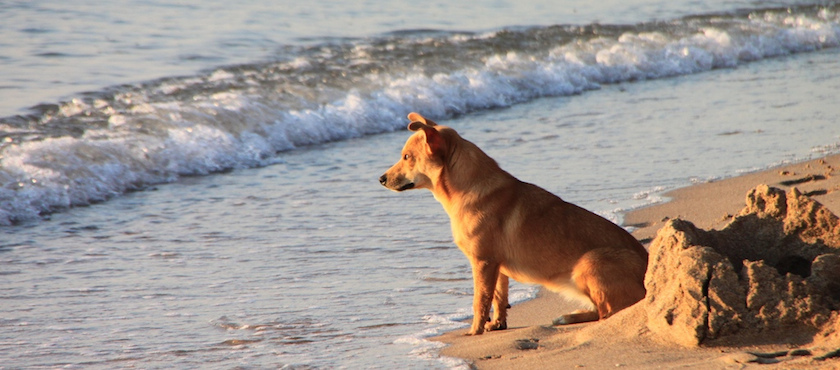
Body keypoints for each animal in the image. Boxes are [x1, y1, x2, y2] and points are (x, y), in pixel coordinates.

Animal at [380, 112, 648, 336]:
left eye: (407, 157)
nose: (381, 179)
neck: (467, 188)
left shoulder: (483, 262)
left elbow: (480, 300)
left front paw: (474, 330)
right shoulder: (496, 266)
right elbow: (498, 297)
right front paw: (497, 324)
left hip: (588, 264)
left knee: (609, 313)